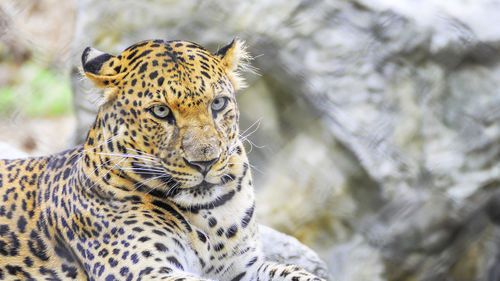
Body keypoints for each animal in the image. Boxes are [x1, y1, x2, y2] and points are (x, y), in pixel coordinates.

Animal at [0, 38, 324, 280]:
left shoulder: (243, 267)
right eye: (160, 111)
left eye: (218, 104)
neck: (210, 216)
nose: (205, 162)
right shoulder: (147, 271)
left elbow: (294, 272)